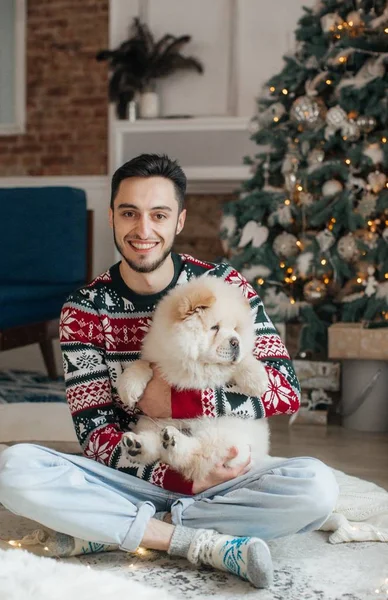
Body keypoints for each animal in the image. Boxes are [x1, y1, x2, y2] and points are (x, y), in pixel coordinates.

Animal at [118, 278, 270, 482]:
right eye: (215, 328)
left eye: (236, 329)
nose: (235, 342)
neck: (195, 363)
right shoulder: (158, 359)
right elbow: (141, 364)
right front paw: (128, 389)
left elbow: (243, 361)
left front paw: (258, 381)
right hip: (152, 421)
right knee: (160, 449)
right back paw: (137, 444)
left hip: (223, 430)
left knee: (195, 454)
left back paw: (172, 441)